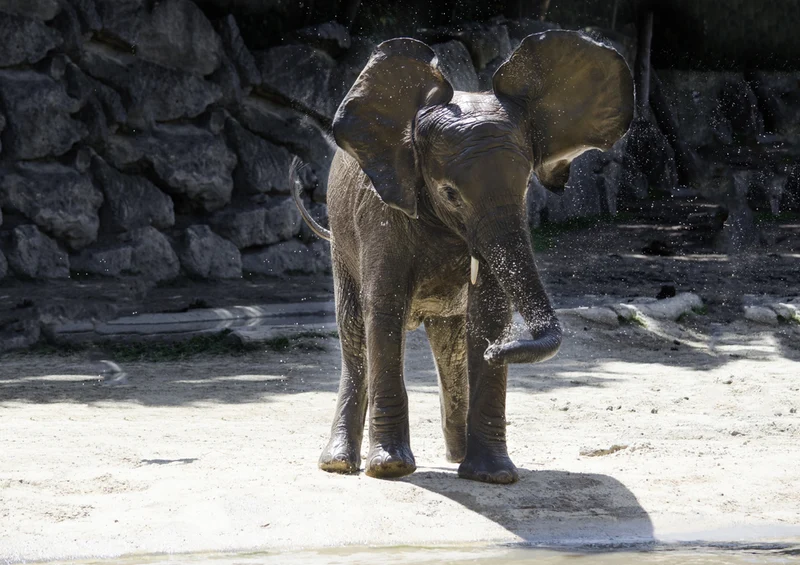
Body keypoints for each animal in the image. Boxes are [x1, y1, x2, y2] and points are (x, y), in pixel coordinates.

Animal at [293, 30, 633, 483]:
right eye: (450, 194)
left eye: (527, 187)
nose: (500, 350)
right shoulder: (380, 215)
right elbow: (383, 309)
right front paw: (391, 469)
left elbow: (487, 312)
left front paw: (493, 475)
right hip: (341, 242)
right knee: (353, 332)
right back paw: (338, 464)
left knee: (450, 345)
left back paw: (456, 457)